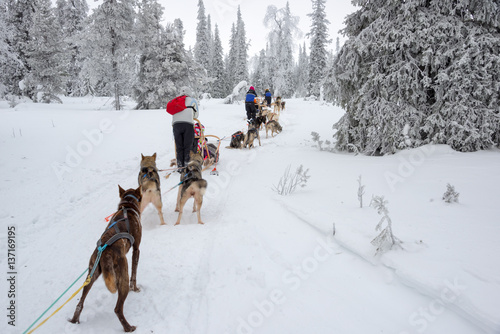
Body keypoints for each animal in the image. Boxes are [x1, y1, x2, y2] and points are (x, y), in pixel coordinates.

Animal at [70, 187, 143, 332]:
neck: (127, 206)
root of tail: (105, 252)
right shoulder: (136, 249)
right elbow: (134, 274)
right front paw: (135, 288)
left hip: (91, 274)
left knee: (80, 303)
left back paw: (75, 320)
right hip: (122, 275)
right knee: (117, 309)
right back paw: (128, 327)